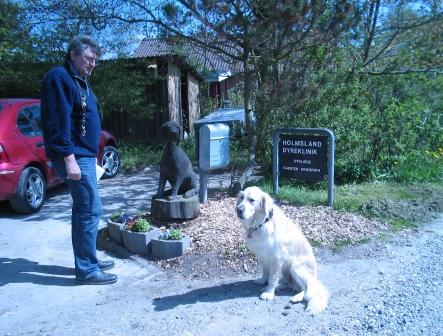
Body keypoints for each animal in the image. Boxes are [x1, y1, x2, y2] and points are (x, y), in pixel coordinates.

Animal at [238, 186, 328, 316]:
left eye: (251, 200)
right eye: (241, 198)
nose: (238, 210)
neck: (262, 222)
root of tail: (315, 277)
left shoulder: (277, 258)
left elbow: (272, 277)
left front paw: (268, 293)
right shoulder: (263, 256)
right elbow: (266, 272)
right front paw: (263, 281)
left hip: (296, 268)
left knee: (305, 288)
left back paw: (297, 296)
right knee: (291, 285)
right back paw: (279, 286)